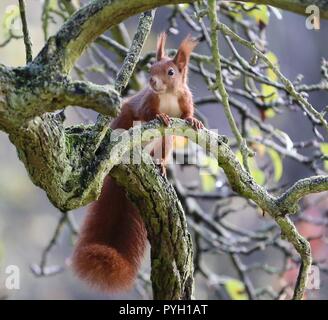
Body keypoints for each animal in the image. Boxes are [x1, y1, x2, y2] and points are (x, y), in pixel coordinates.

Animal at [72, 33, 202, 292]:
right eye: (151, 68)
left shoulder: (185, 101)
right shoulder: (146, 102)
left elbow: (187, 115)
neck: (168, 95)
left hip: (165, 140)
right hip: (123, 121)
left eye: (171, 72)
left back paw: (160, 165)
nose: (152, 81)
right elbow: (146, 113)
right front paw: (160, 115)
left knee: (162, 150)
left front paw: (194, 121)